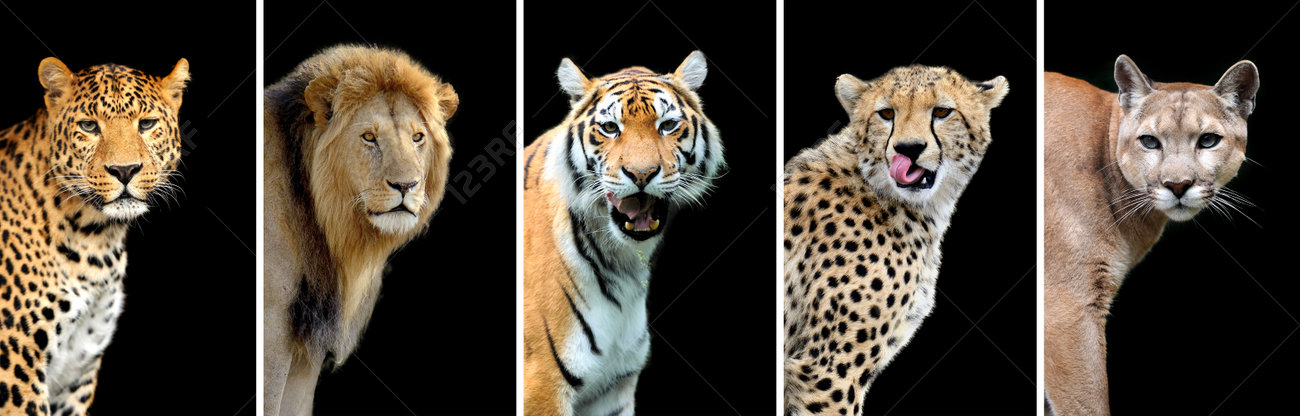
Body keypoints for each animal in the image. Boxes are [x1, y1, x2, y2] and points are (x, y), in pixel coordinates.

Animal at [0, 57, 189, 415]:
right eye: (88, 126)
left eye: (147, 124)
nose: (125, 170)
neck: (95, 238)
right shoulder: (16, 363)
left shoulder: (77, 371)